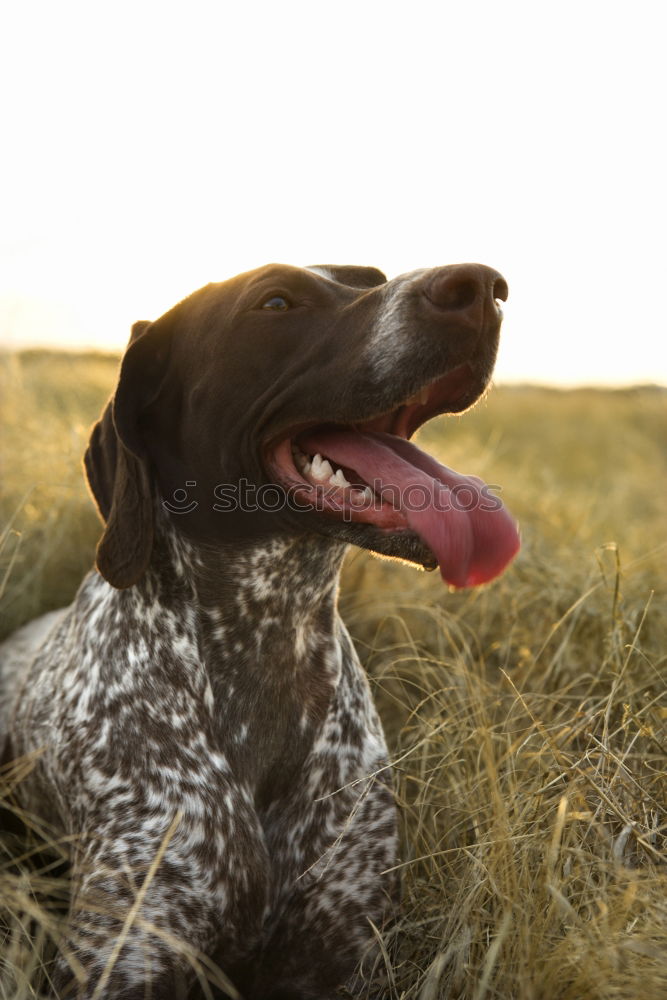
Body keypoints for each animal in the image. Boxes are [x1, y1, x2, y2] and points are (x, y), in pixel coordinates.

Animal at [0, 264, 520, 1000]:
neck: (269, 641)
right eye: (275, 302)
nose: (480, 285)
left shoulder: (340, 955)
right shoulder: (126, 954)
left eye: (371, 277)